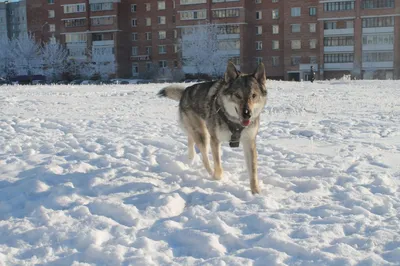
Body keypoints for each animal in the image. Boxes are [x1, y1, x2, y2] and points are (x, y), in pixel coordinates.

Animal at [158, 61, 268, 193]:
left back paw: (191, 159)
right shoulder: (215, 140)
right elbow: (218, 166)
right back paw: (210, 173)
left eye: (254, 95)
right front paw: (218, 178)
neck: (234, 122)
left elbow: (253, 171)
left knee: (190, 140)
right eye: (237, 95)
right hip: (203, 135)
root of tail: (185, 91)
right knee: (204, 158)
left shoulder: (249, 142)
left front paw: (256, 192)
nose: (247, 114)